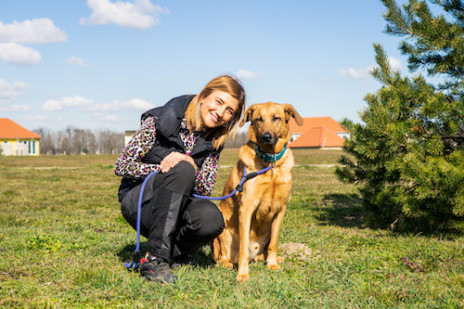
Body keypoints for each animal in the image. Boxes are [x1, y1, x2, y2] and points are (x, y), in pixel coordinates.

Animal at [211, 101, 304, 282]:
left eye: (276, 118)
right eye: (258, 119)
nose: (266, 137)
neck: (271, 165)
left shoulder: (281, 209)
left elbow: (274, 243)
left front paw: (272, 264)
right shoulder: (247, 208)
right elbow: (243, 248)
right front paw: (242, 273)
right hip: (223, 227)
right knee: (222, 256)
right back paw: (228, 263)